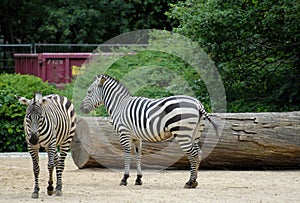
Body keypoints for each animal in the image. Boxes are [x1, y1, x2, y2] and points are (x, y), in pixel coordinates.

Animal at [79, 74, 218, 189]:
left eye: (89, 91)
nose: (81, 108)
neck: (119, 105)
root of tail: (198, 104)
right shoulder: (136, 137)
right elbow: (138, 156)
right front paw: (138, 179)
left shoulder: (124, 134)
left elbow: (127, 155)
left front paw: (124, 178)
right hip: (195, 134)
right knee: (198, 153)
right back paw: (194, 181)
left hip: (183, 134)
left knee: (193, 154)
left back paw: (190, 182)